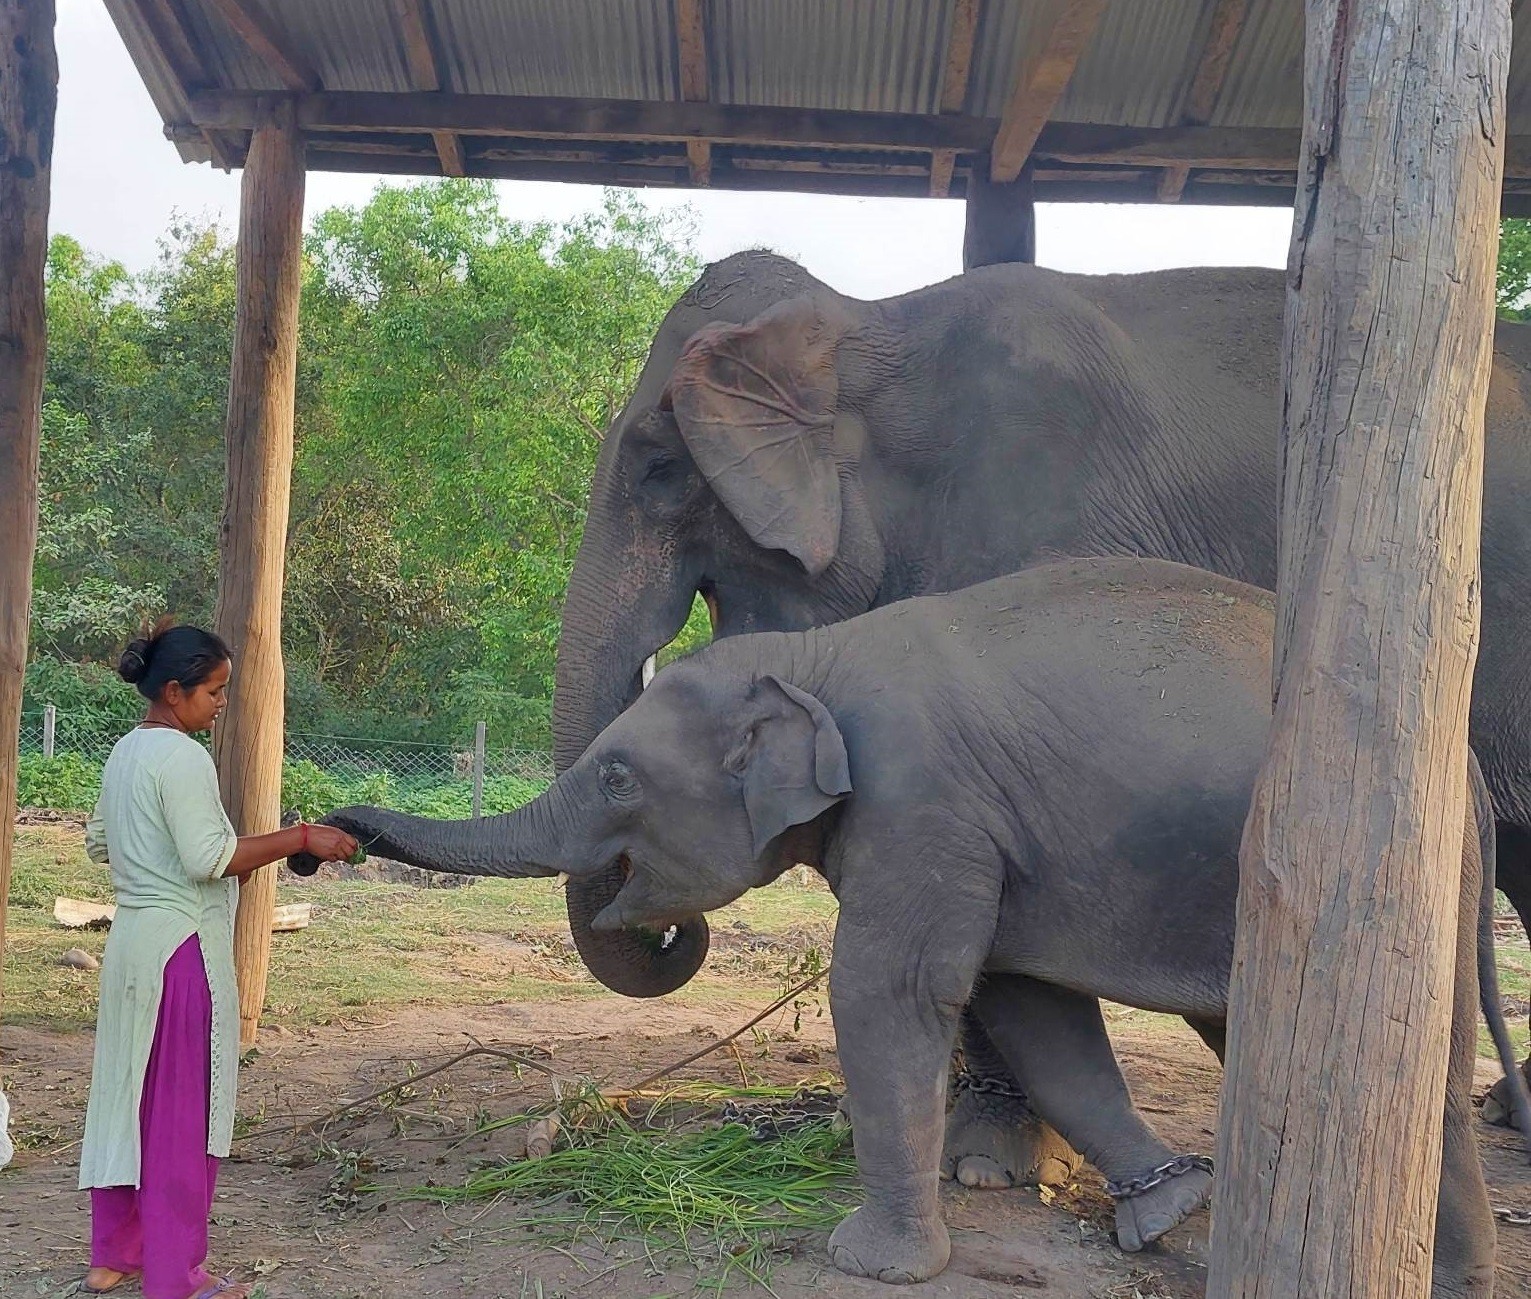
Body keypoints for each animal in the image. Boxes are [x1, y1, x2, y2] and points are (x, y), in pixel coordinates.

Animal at [295, 560, 1531, 1299]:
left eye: (614, 775)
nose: (330, 832)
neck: (817, 658)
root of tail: (1467, 766)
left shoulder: (922, 800)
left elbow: (892, 992)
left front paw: (869, 1263)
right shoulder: (986, 832)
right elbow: (1024, 1000)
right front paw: (1166, 1209)